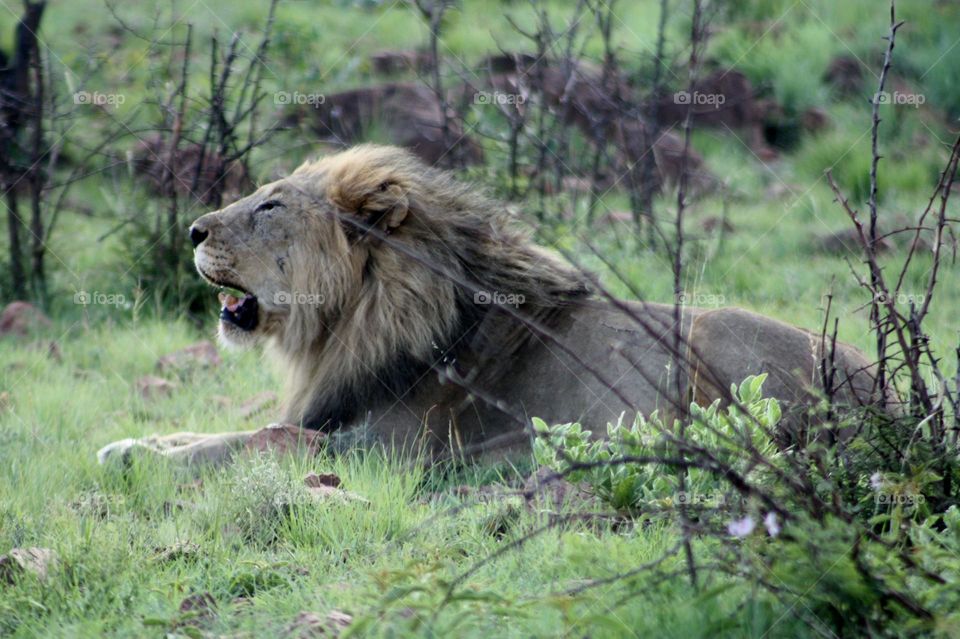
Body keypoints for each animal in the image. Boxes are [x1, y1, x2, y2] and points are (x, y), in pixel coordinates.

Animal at [97, 144, 884, 464]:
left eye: (271, 205)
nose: (192, 231)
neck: (352, 321)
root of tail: (899, 397)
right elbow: (210, 431)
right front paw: (133, 443)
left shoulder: (380, 451)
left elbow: (247, 442)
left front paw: (135, 458)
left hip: (717, 333)